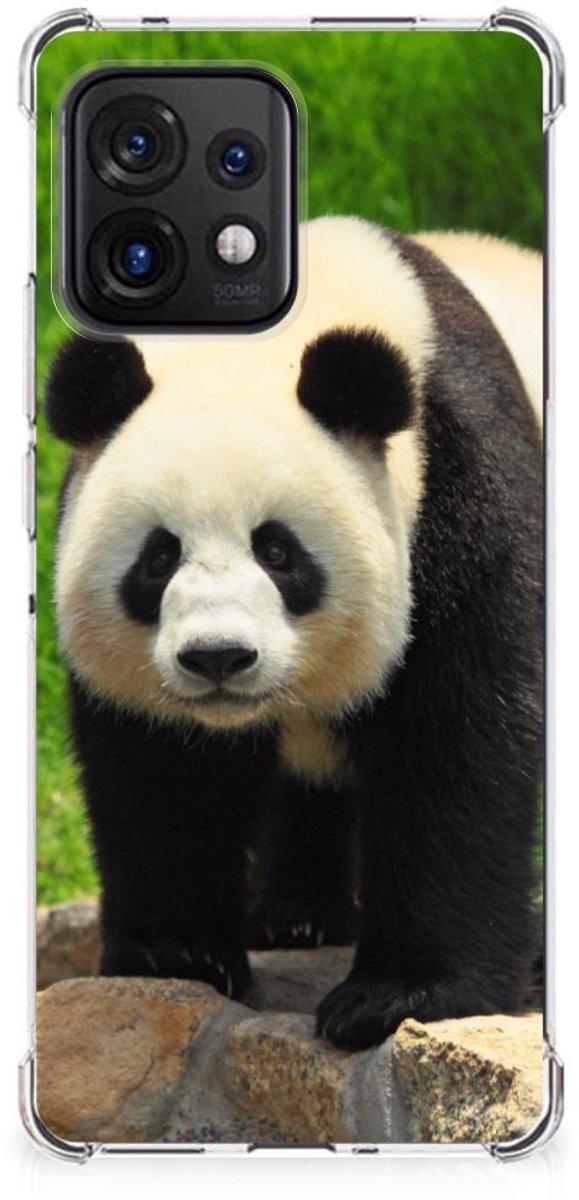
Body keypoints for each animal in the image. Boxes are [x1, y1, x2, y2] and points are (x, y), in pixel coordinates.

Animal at [45, 216, 543, 1050]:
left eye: (277, 552)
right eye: (158, 557)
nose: (217, 657)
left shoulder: (464, 490)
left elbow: (460, 740)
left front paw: (398, 995)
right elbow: (161, 769)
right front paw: (177, 953)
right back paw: (294, 916)